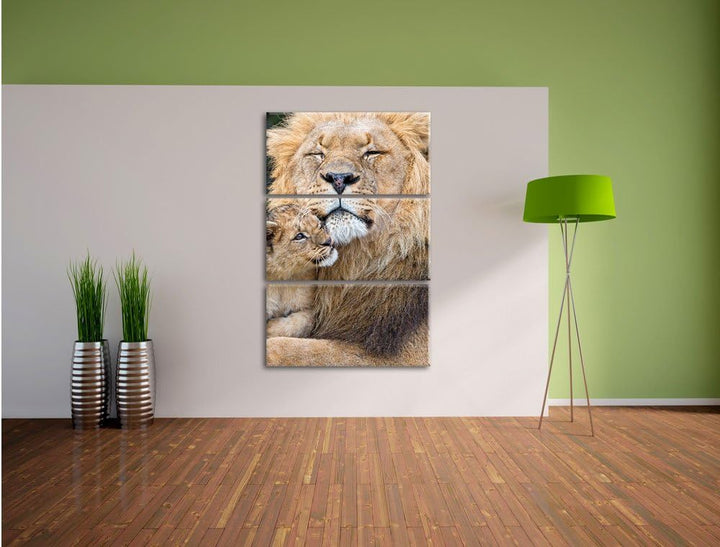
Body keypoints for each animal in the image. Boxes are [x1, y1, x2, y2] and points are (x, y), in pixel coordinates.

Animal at [266, 201, 337, 338]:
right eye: (299, 236)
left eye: (320, 226)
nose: (329, 241)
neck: (284, 277)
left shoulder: (312, 309)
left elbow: (302, 322)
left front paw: (270, 327)